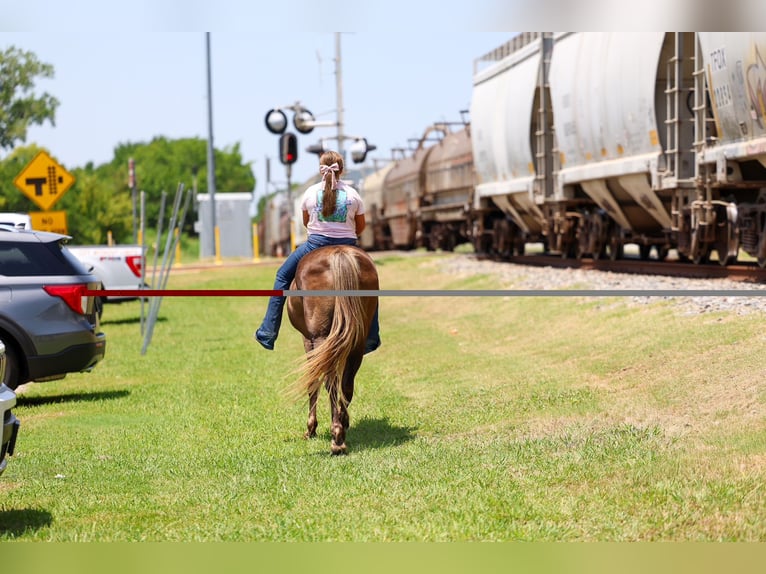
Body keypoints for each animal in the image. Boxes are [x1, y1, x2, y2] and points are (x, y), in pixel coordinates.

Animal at [286, 245, 379, 455]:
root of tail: (339, 254)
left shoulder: (308, 341)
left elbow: (312, 382)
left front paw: (311, 429)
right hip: (357, 341)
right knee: (346, 384)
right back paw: (342, 425)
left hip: (321, 338)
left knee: (331, 382)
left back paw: (336, 438)